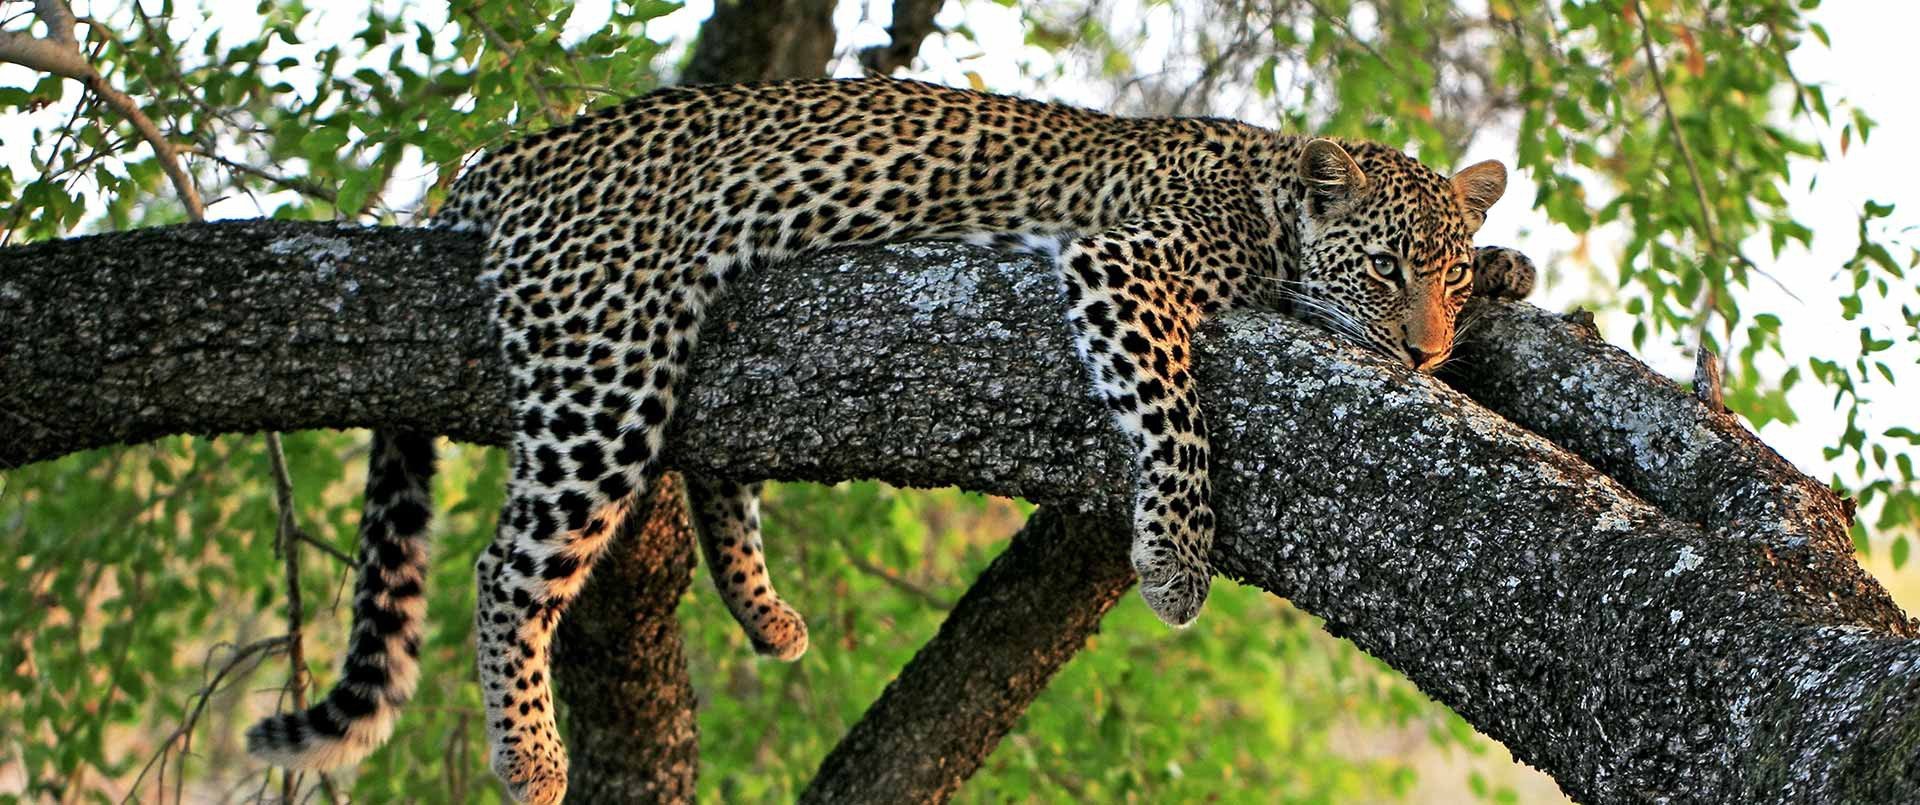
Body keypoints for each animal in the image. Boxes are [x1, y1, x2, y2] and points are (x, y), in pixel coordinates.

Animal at [244, 77, 1534, 803]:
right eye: (1384, 269)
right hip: (606, 355)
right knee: (507, 564)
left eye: (1443, 272)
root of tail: (510, 155)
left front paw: (1513, 268)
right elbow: (1175, 416)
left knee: (708, 468)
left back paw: (765, 612)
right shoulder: (1121, 269)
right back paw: (529, 756)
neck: (1269, 189)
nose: (1424, 353)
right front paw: (1175, 561)